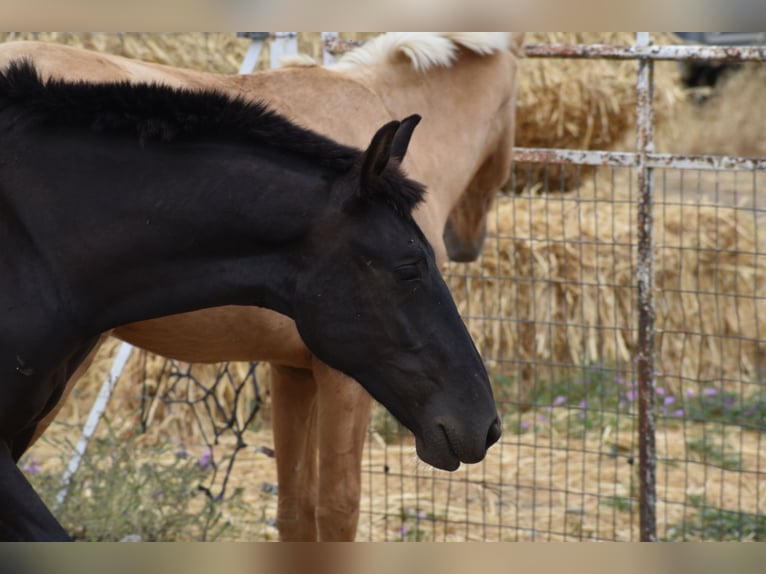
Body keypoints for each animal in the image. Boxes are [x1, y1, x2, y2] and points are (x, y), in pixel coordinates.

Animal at [1, 33, 520, 544]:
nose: (487, 424)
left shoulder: (293, 368)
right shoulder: (341, 380)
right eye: (410, 268)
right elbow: (337, 511)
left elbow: (295, 512)